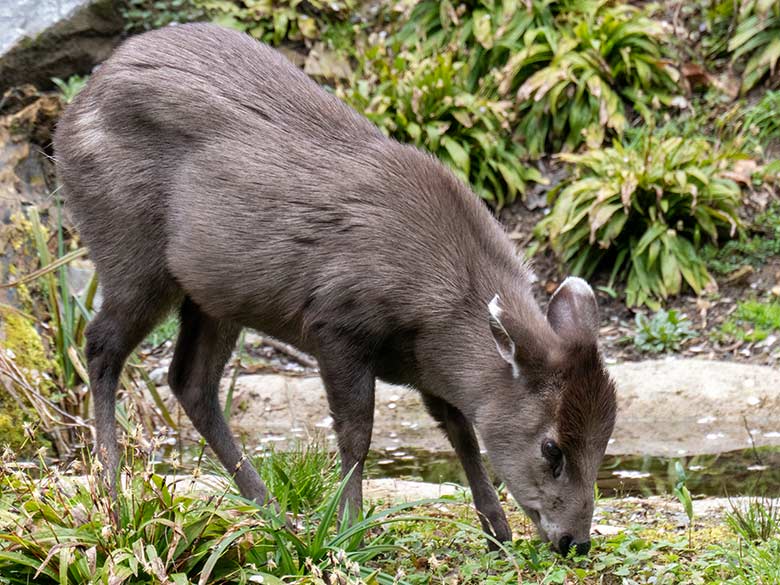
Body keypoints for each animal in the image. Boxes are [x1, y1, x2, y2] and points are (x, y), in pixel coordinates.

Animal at [53, 21, 616, 552]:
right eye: (552, 448)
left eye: (605, 439)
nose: (575, 541)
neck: (441, 298)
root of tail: (73, 113)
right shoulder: (337, 322)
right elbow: (356, 434)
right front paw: (350, 532)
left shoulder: (427, 366)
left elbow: (459, 427)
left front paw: (495, 528)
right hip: (132, 252)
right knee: (101, 345)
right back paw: (115, 496)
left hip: (212, 296)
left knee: (190, 381)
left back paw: (272, 512)